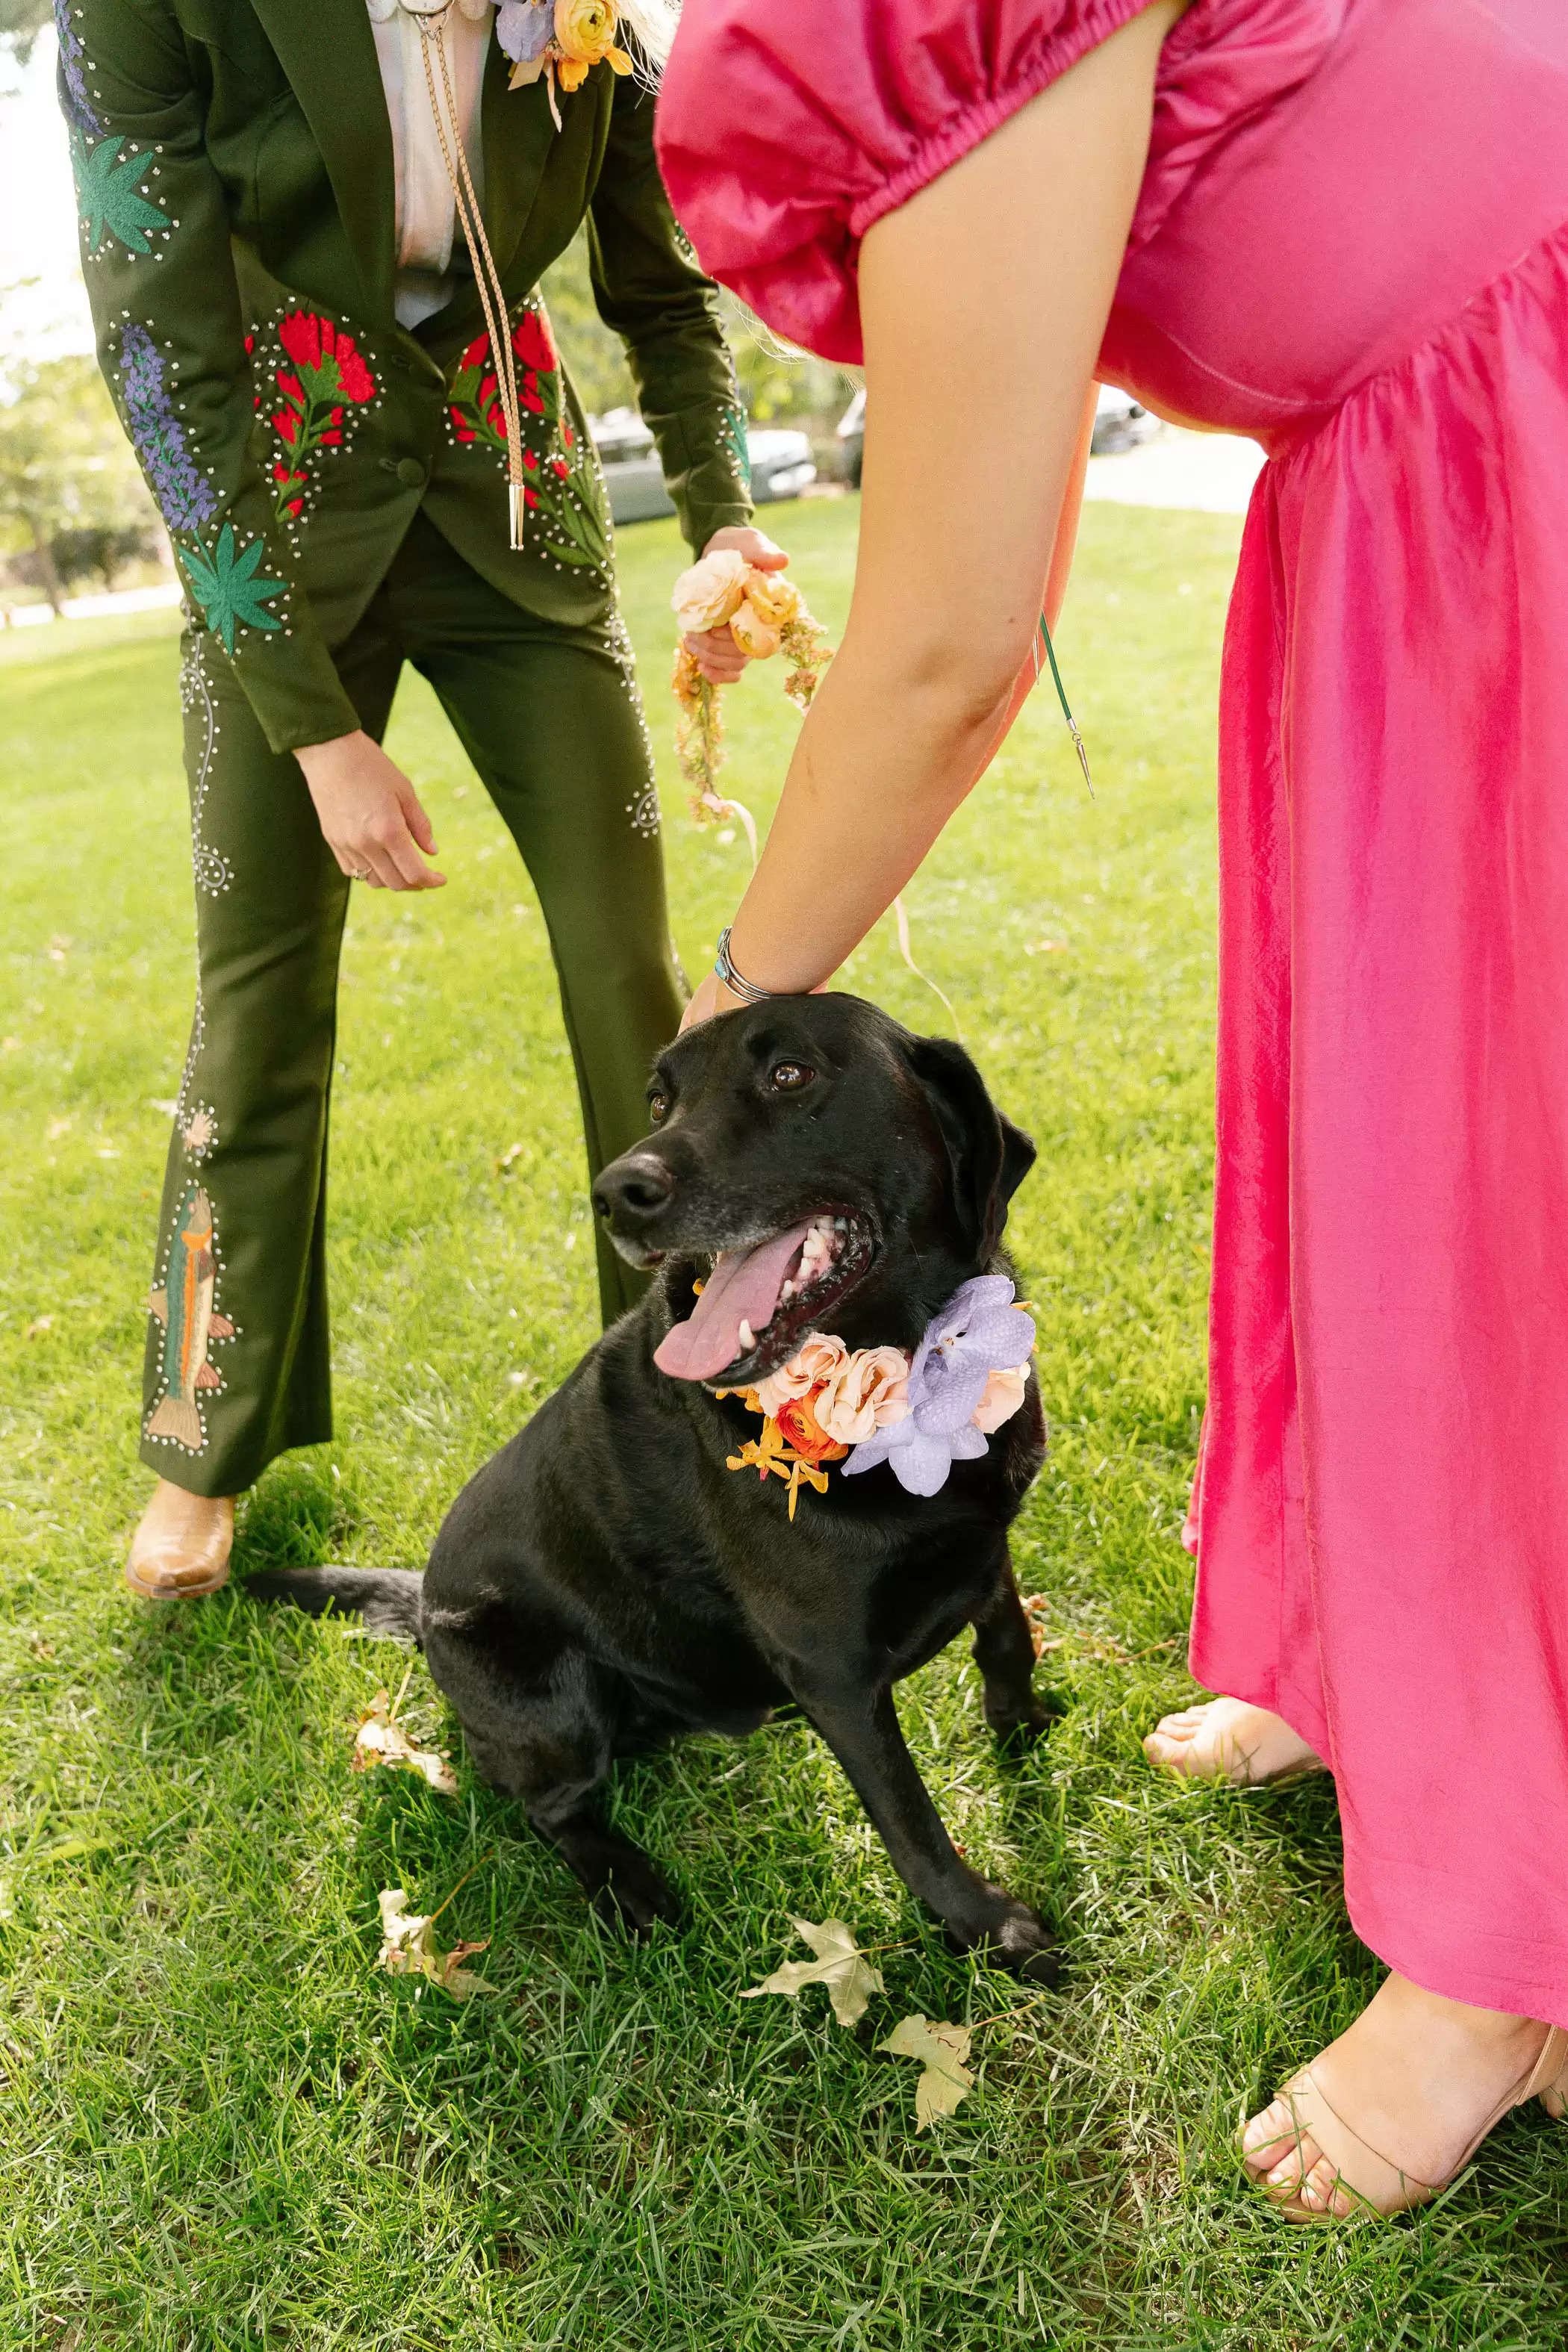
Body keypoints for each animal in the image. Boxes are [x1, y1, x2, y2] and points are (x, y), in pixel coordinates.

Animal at [257, 992, 1063, 1985]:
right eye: (658, 1101)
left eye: (790, 1073)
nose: (614, 1194)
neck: (911, 1374)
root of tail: (423, 1605)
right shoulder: (833, 1671)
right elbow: (911, 1820)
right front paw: (988, 1928)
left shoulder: (987, 1538)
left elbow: (1007, 1635)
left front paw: (1022, 1724)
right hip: (549, 1693)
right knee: (545, 1807)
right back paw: (628, 1886)